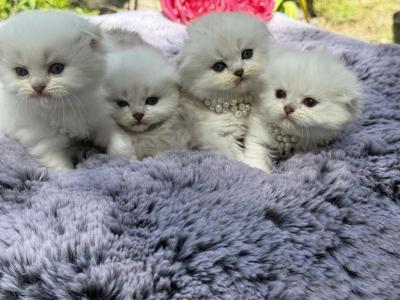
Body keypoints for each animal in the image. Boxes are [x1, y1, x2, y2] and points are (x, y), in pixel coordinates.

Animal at [0, 10, 135, 170]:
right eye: (21, 72)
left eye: (57, 68)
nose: (38, 86)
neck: (62, 108)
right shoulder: (44, 142)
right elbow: (61, 167)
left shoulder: (98, 119)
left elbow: (116, 137)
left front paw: (129, 158)